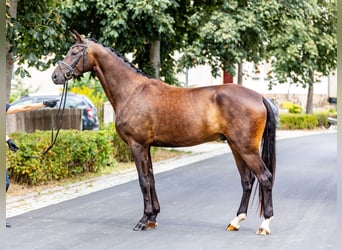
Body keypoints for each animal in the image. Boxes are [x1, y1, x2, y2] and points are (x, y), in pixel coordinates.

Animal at [52, 30, 276, 234]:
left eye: (74, 52)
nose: (55, 76)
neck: (132, 91)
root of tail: (260, 97)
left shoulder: (137, 145)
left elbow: (143, 181)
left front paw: (143, 220)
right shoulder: (147, 147)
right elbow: (151, 179)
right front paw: (153, 218)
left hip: (246, 148)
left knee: (265, 177)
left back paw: (264, 224)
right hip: (235, 146)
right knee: (247, 180)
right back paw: (235, 221)